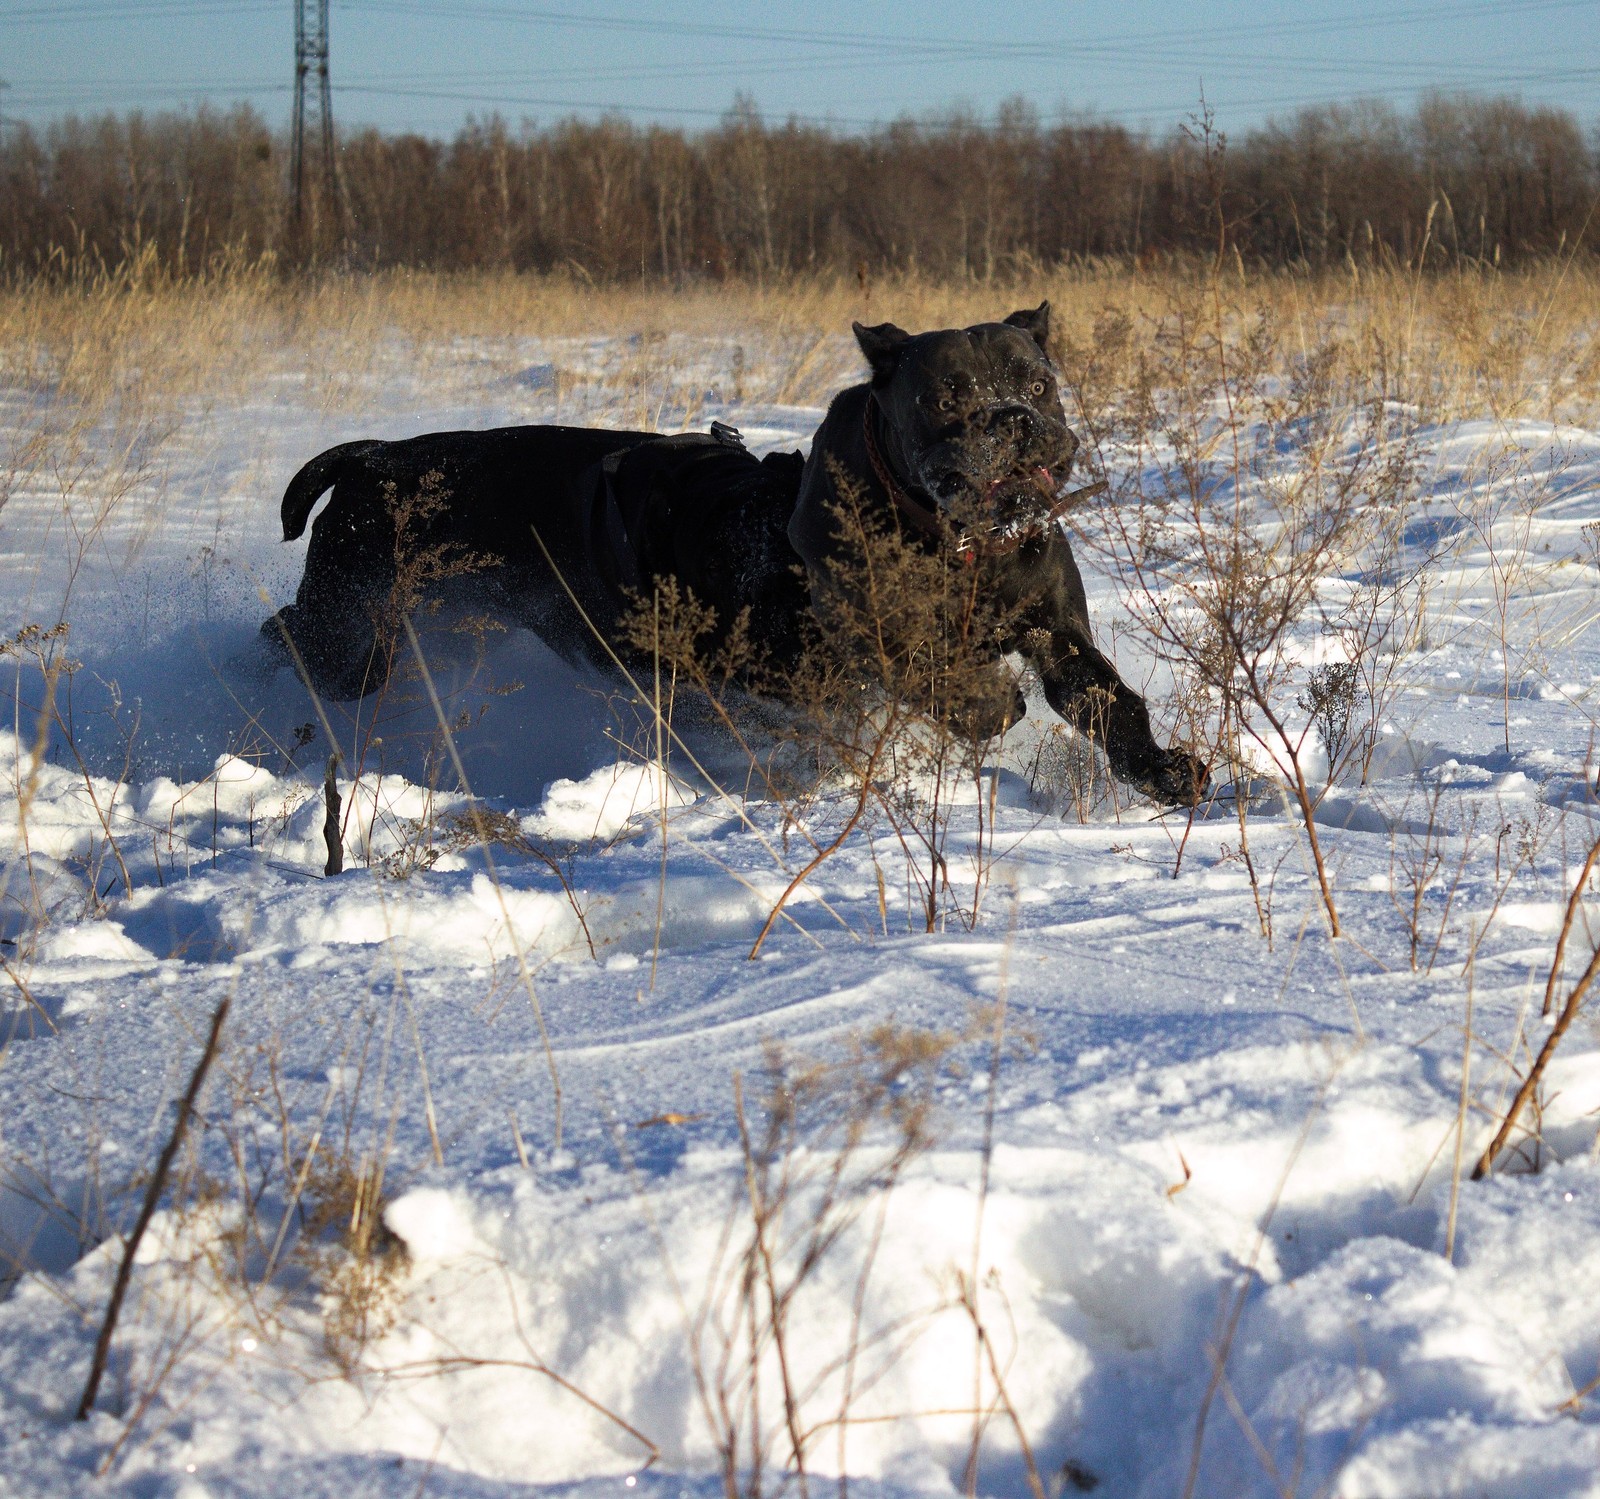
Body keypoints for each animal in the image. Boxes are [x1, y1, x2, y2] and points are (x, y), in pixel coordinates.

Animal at [787, 297, 1203, 799]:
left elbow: (1111, 702)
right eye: (945, 402)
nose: (1013, 418)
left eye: (1039, 386)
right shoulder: (864, 626)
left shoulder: (1057, 631)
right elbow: (931, 670)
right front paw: (990, 699)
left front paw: (1160, 767)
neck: (967, 543)